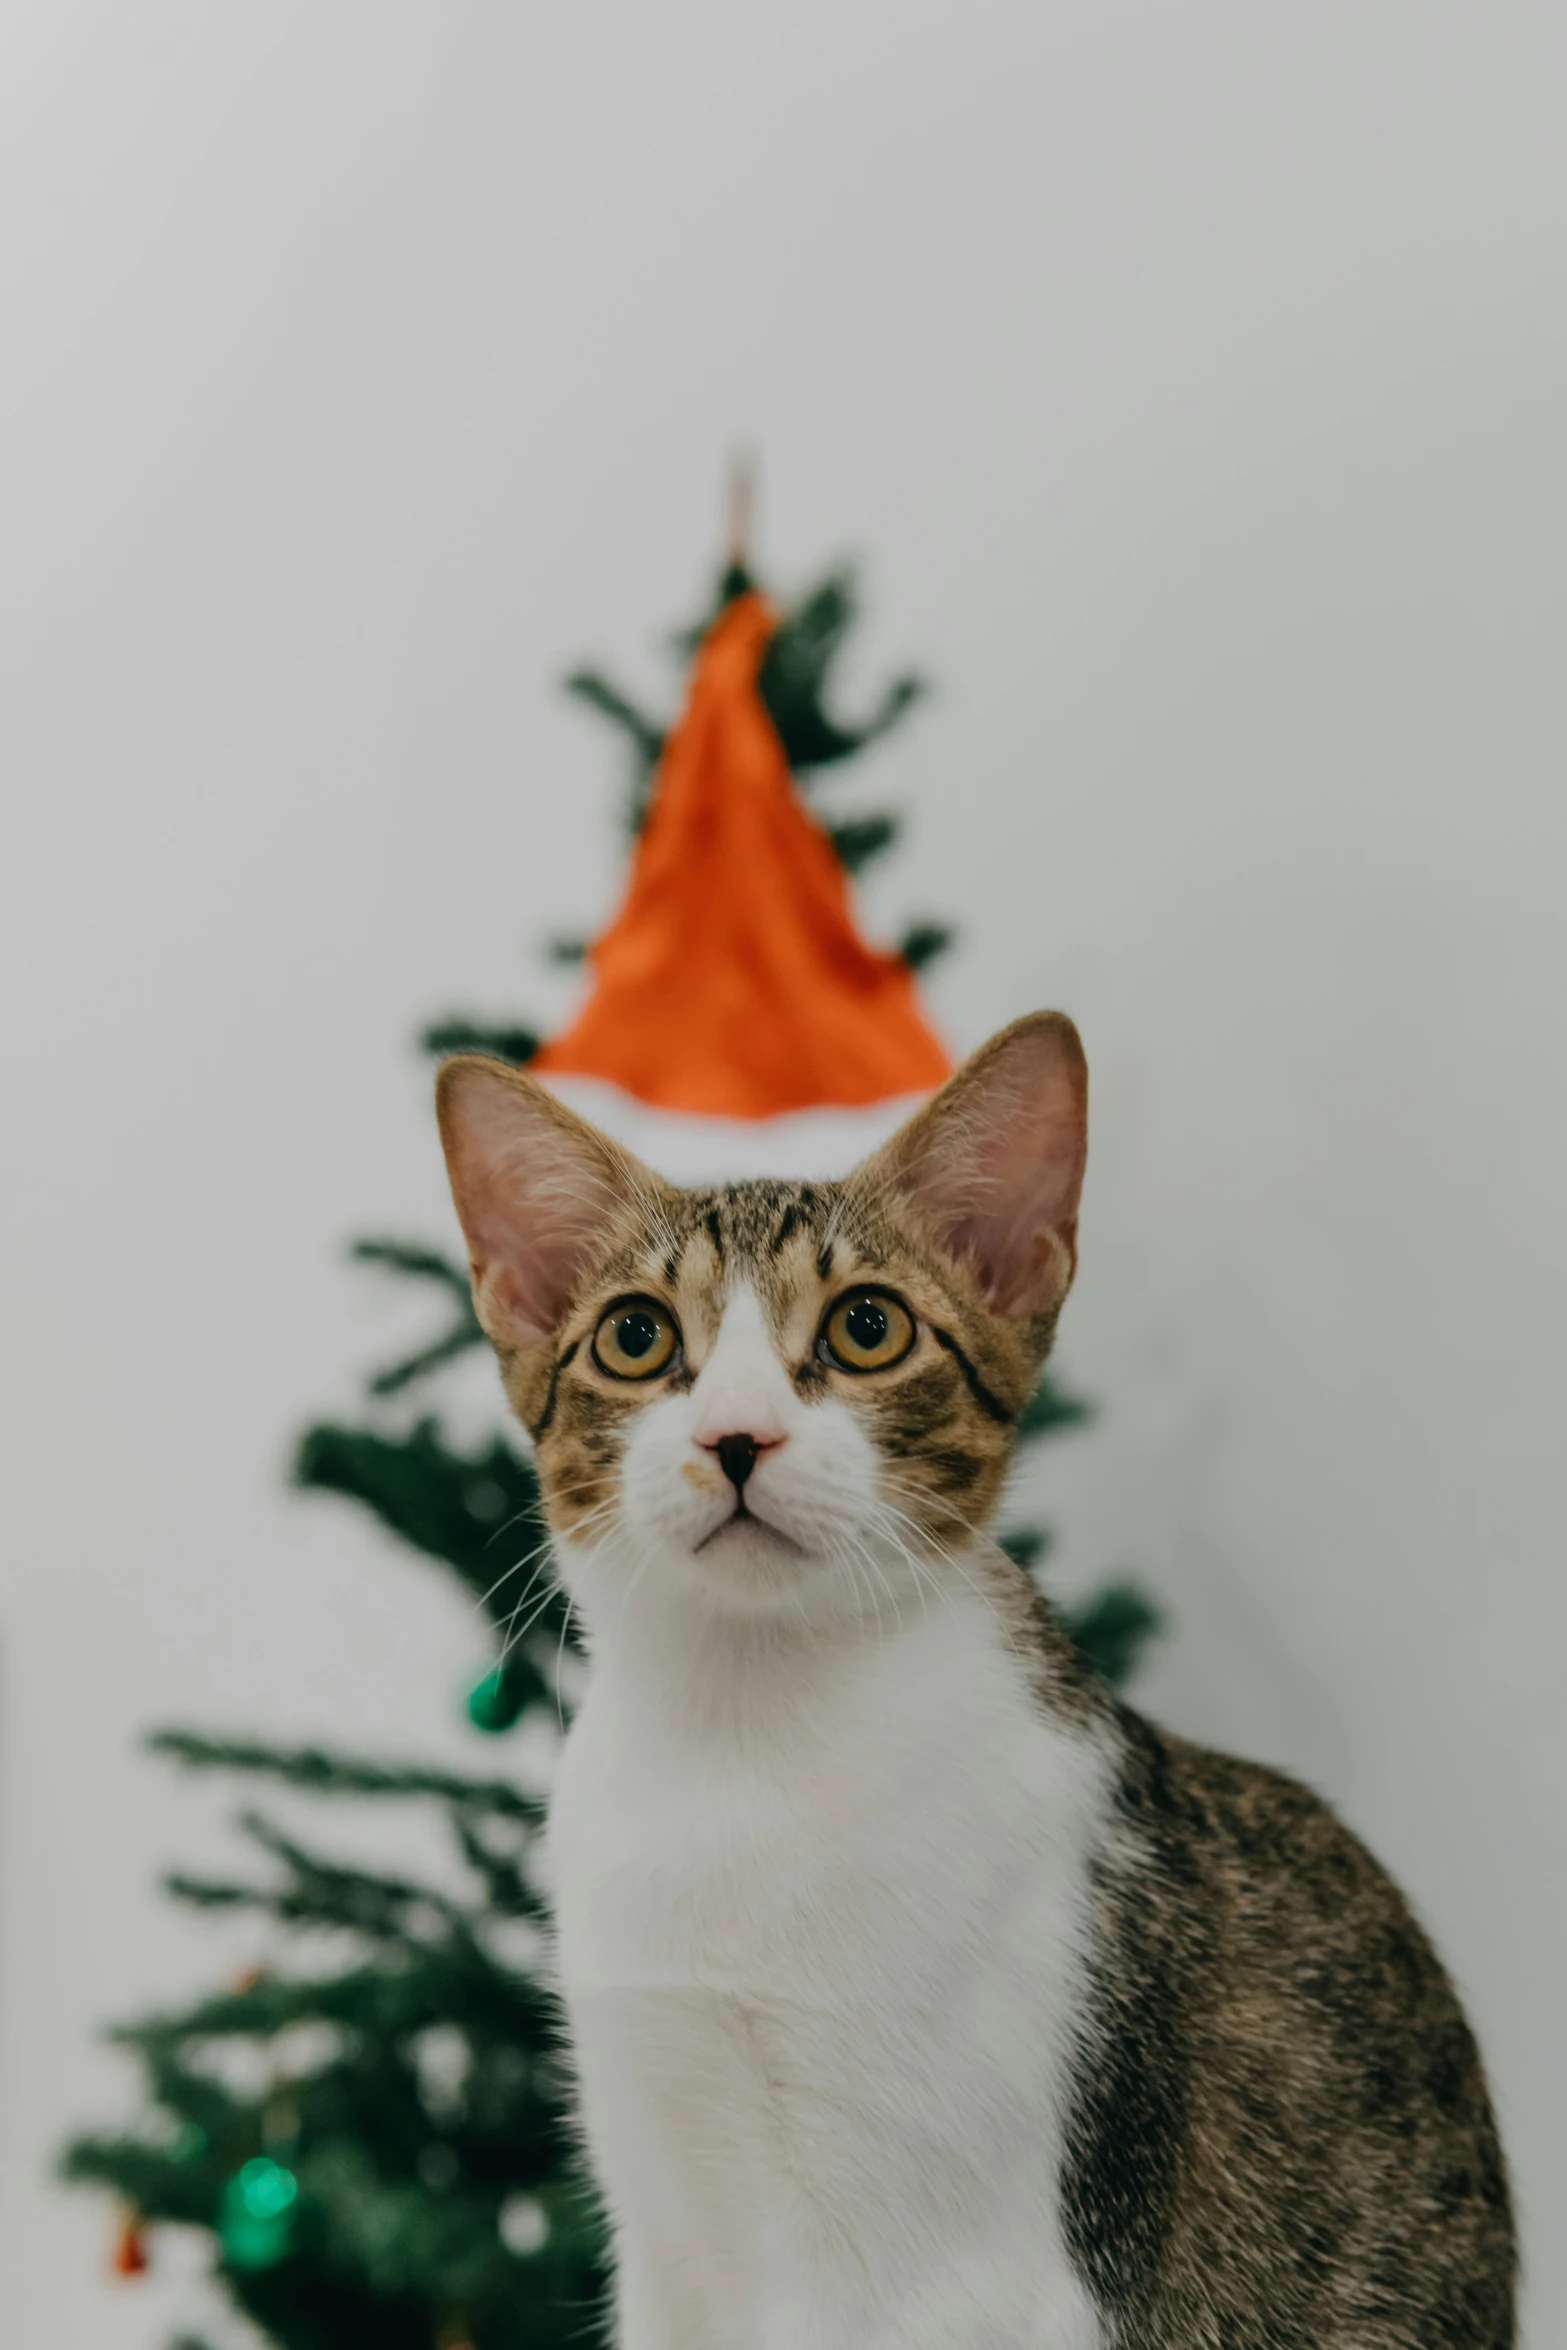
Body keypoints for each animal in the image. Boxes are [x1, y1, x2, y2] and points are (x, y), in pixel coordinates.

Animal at [434, 1015, 1512, 2350]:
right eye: (635, 1337)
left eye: (867, 1327)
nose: (736, 1436)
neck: (743, 1737)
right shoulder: (664, 2221)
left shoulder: (958, 2271)